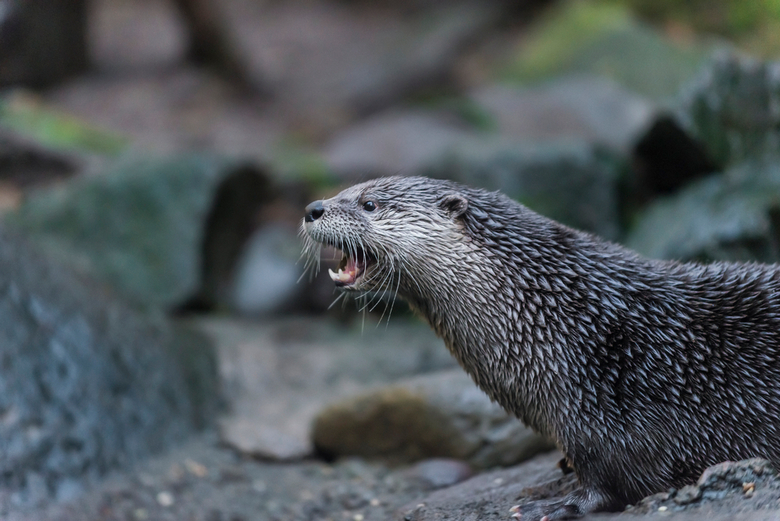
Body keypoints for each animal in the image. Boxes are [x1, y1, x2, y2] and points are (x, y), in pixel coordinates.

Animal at [298, 177, 780, 516]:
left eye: (369, 204)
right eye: (344, 191)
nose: (312, 208)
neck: (563, 318)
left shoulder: (604, 404)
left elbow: (620, 477)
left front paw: (558, 503)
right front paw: (555, 479)